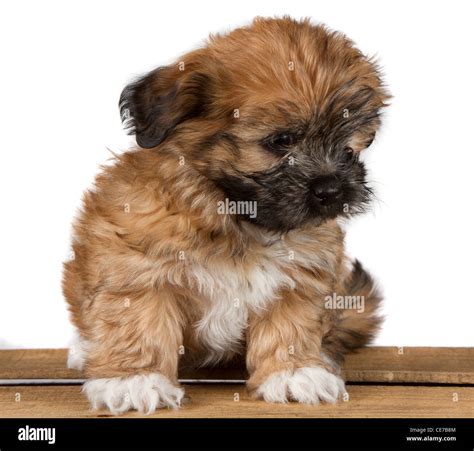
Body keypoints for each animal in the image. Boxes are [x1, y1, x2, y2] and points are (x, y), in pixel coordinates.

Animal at [63, 16, 388, 414]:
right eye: (281, 141)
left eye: (349, 147)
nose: (332, 190)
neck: (233, 216)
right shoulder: (138, 267)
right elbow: (137, 322)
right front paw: (135, 380)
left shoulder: (300, 272)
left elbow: (291, 323)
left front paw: (294, 372)